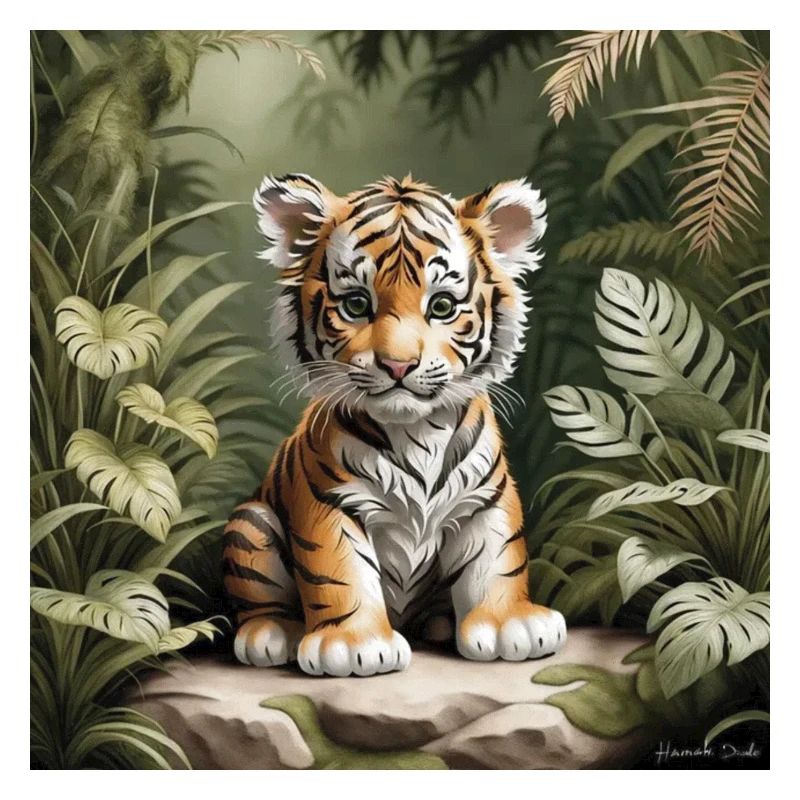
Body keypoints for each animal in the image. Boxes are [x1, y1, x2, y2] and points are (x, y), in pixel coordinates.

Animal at [222, 173, 566, 677]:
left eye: (442, 306)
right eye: (355, 304)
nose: (398, 365)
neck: (416, 433)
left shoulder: (486, 497)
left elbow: (499, 557)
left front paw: (510, 626)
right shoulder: (329, 502)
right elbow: (339, 572)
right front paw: (352, 645)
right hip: (251, 524)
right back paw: (271, 633)